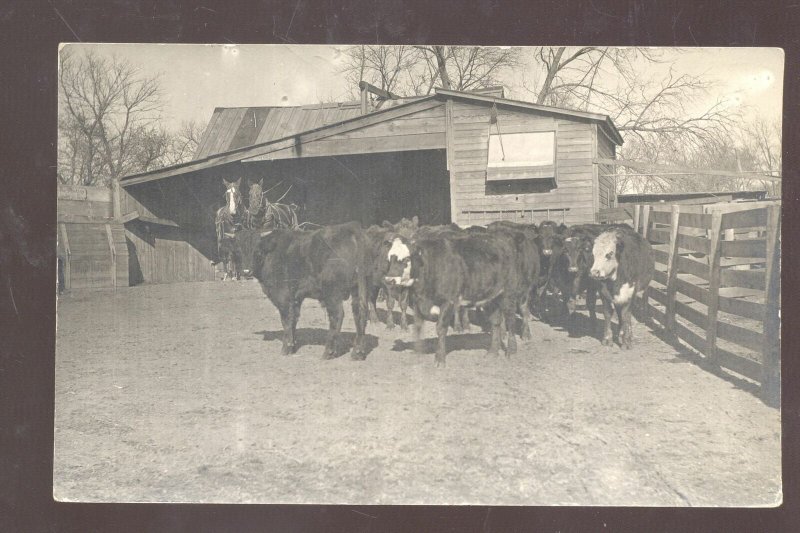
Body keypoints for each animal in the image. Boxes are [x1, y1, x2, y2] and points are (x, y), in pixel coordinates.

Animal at [231, 220, 368, 358]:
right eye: (237, 250)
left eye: (257, 251)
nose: (246, 271)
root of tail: (350, 227)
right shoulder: (296, 298)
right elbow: (294, 320)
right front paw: (292, 346)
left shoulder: (283, 297)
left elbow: (286, 320)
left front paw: (286, 348)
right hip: (357, 291)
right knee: (359, 314)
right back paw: (357, 353)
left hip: (332, 293)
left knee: (337, 315)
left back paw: (328, 352)